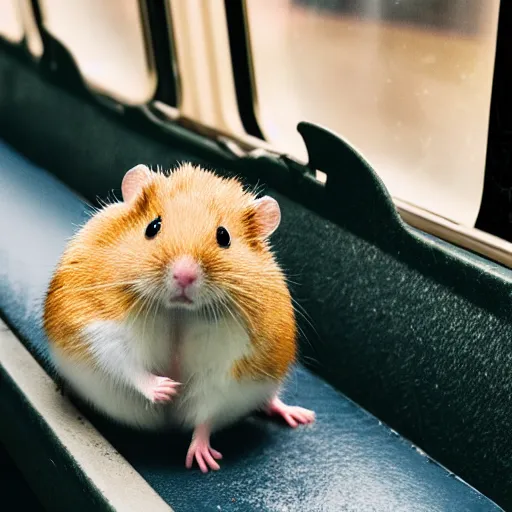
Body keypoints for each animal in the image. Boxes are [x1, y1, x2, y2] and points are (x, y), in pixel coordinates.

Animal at [44, 163, 314, 472]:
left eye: (224, 236)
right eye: (153, 226)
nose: (184, 276)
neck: (178, 313)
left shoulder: (230, 369)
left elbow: (206, 416)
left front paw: (204, 462)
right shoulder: (96, 326)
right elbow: (125, 365)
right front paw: (168, 389)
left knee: (268, 401)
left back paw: (300, 416)